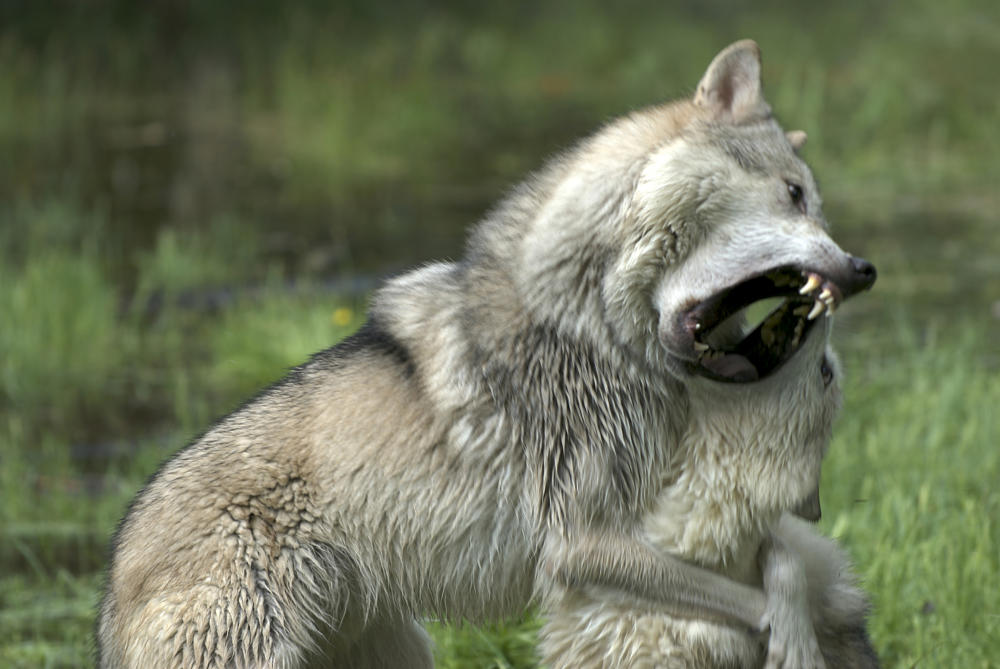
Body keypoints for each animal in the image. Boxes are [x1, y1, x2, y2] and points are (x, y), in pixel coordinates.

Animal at [98, 40, 876, 668]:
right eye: (795, 193)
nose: (864, 269)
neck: (591, 332)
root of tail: (111, 577)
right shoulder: (579, 548)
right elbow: (761, 593)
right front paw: (794, 642)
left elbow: (783, 557)